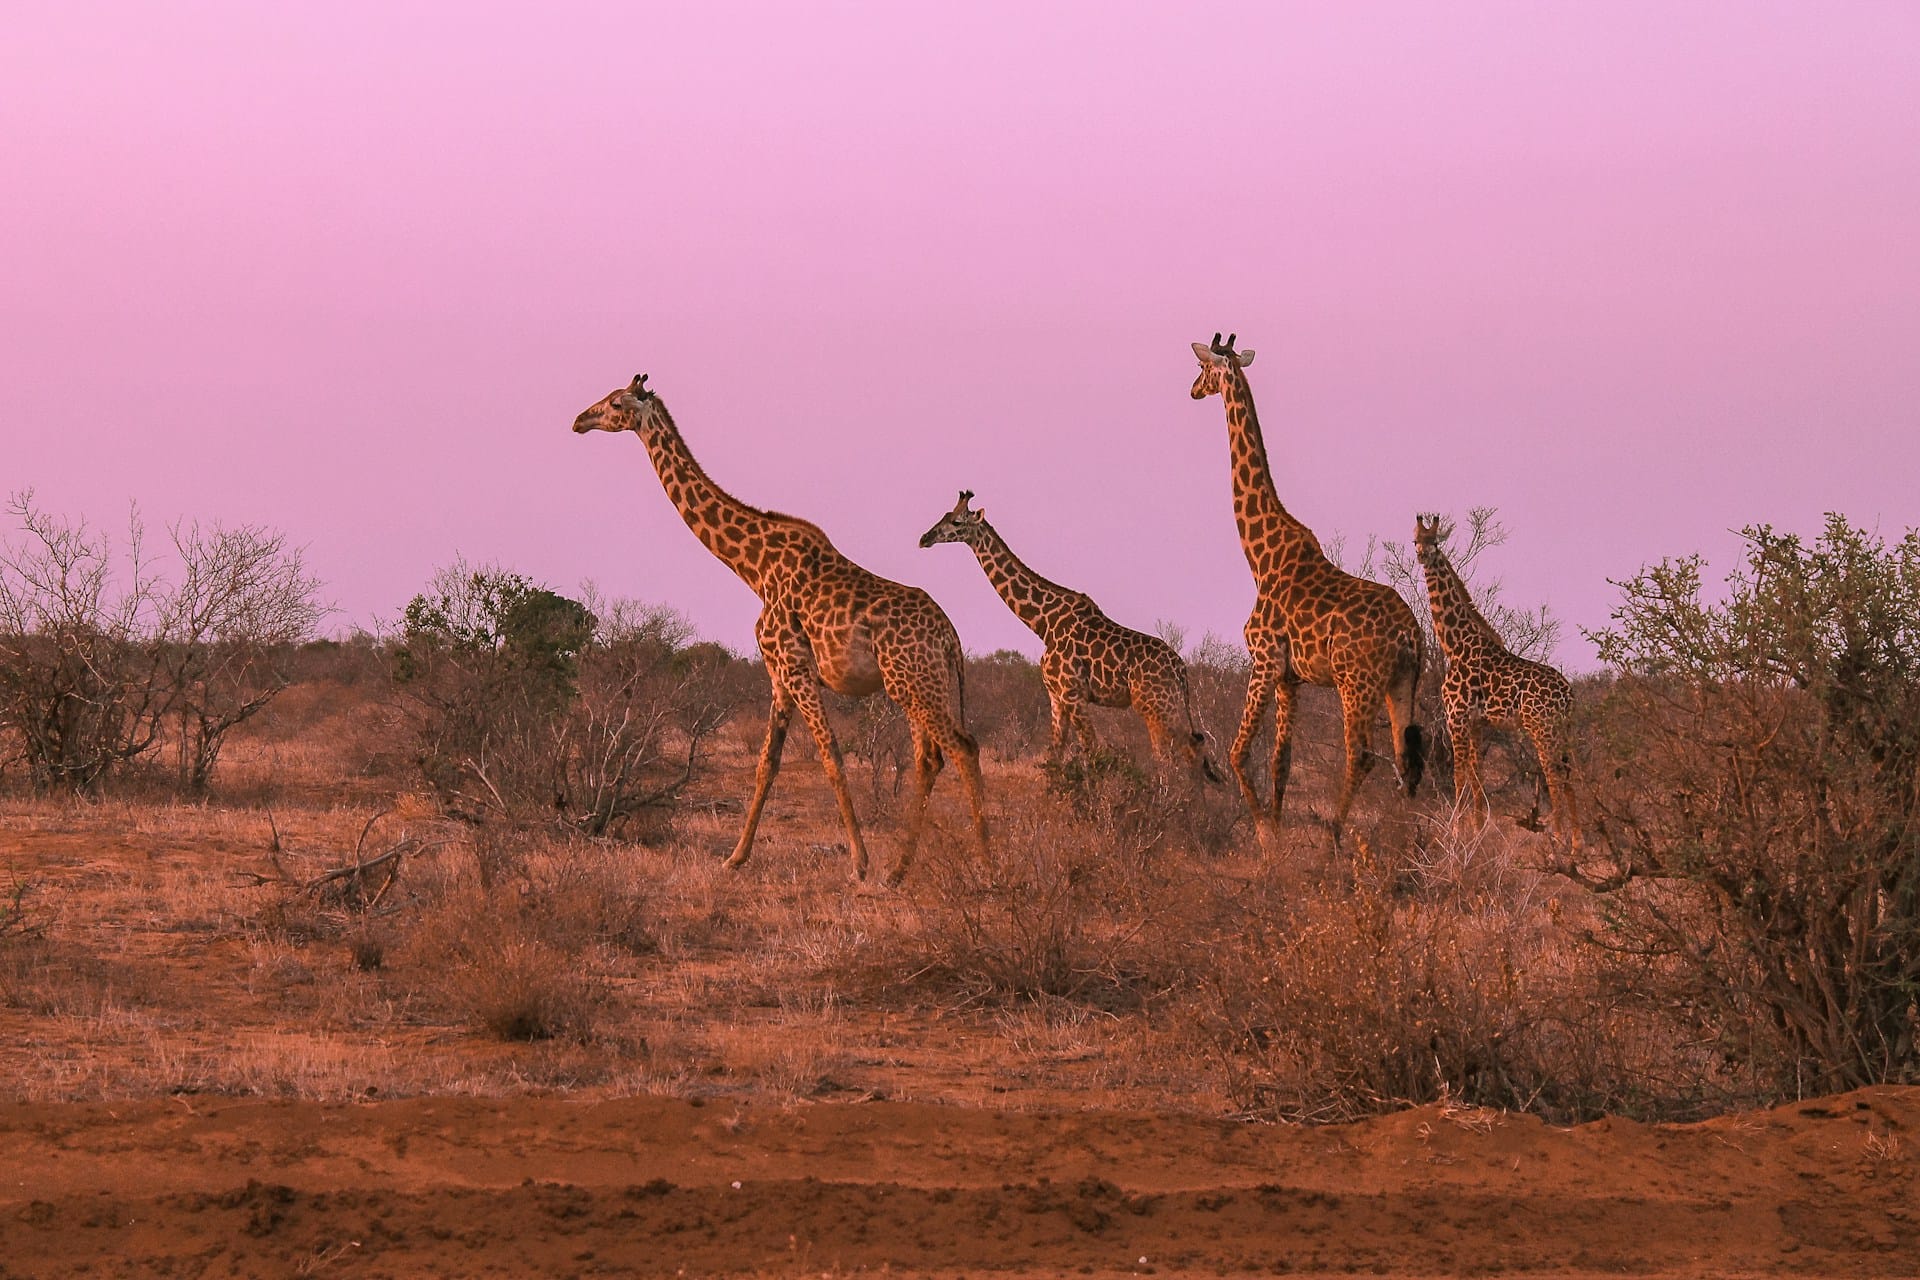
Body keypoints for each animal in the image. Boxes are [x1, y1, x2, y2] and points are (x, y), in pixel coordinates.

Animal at [572, 374, 988, 885]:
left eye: (615, 403)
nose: (579, 420)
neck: (753, 567)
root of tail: (951, 638)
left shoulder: (794, 665)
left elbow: (831, 755)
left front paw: (859, 862)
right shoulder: (777, 675)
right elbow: (766, 763)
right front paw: (735, 857)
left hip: (913, 682)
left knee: (963, 748)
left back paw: (986, 863)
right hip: (922, 683)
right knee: (930, 758)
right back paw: (899, 870)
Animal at [918, 490, 1221, 784]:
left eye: (957, 522)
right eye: (944, 515)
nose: (924, 538)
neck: (1043, 623)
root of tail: (1181, 670)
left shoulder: (1073, 694)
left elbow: (1092, 753)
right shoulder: (1056, 697)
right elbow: (1055, 755)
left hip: (1155, 706)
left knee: (1170, 755)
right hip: (1164, 706)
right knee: (1191, 749)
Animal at [1188, 333, 1426, 837]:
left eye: (1202, 368)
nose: (1193, 391)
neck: (1260, 557)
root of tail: (1411, 635)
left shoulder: (1263, 660)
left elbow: (1238, 753)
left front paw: (1265, 835)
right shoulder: (1289, 677)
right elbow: (1282, 760)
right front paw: (1277, 832)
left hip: (1355, 683)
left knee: (1363, 755)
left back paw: (1336, 832)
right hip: (1401, 683)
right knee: (1406, 759)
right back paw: (1410, 840)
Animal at [1412, 514, 1579, 849]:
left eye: (1435, 540)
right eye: (1415, 540)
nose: (1423, 555)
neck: (1454, 645)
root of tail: (1568, 694)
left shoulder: (1457, 716)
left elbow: (1459, 775)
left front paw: (1455, 833)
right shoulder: (1478, 722)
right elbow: (1477, 774)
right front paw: (1478, 832)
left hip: (1542, 727)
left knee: (1554, 774)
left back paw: (1558, 837)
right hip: (1562, 729)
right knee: (1571, 775)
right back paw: (1578, 841)